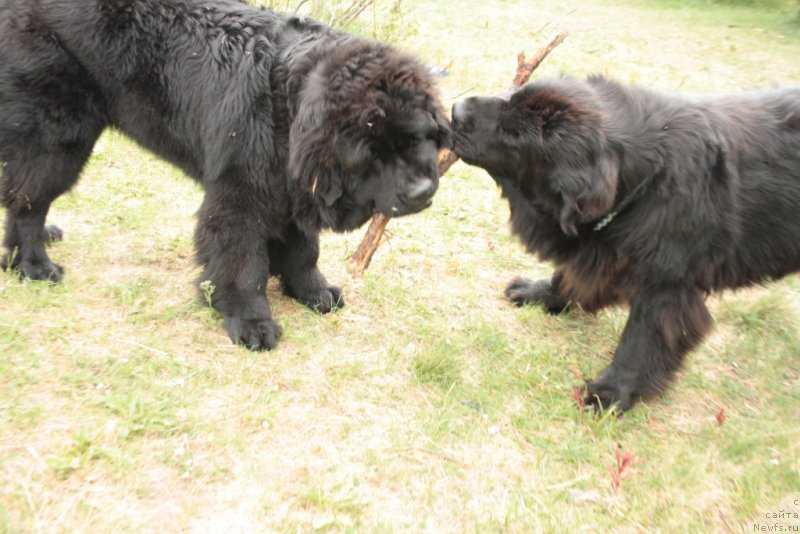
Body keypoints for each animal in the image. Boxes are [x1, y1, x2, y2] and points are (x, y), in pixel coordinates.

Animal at [0, 0, 450, 352]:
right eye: (371, 152)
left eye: (416, 138)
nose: (423, 191)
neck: (286, 112)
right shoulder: (242, 194)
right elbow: (242, 262)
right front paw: (251, 323)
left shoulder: (290, 189)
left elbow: (303, 250)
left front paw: (314, 292)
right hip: (59, 135)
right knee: (29, 199)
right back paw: (35, 265)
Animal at [454, 74, 800, 410]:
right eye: (512, 96)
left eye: (515, 134)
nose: (456, 110)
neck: (645, 182)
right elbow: (570, 275)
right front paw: (538, 293)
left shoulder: (665, 285)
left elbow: (642, 338)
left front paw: (610, 392)